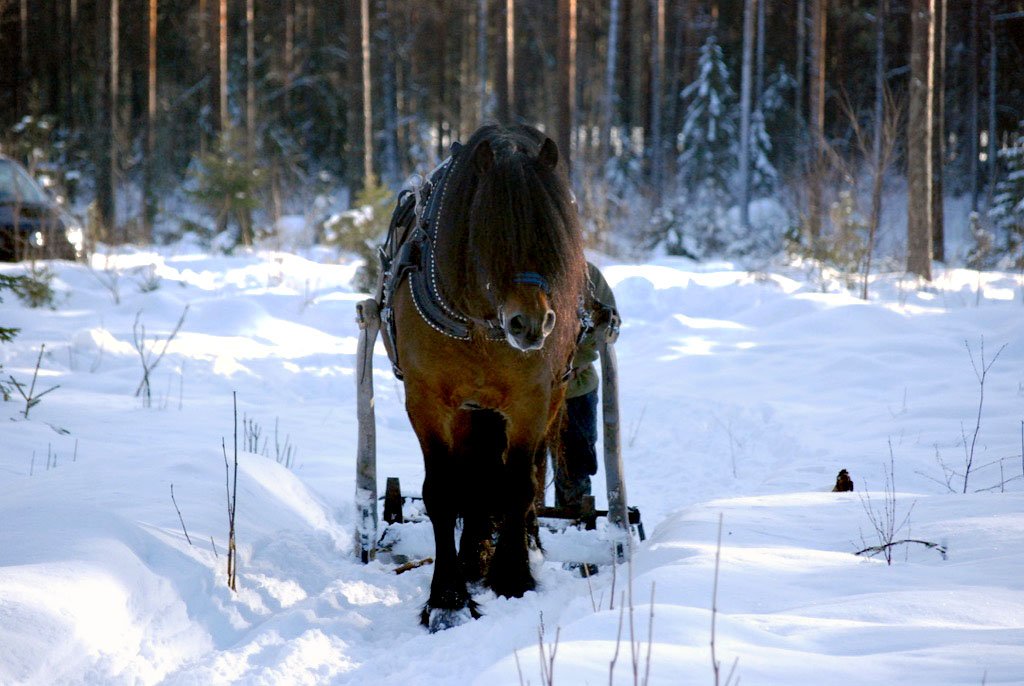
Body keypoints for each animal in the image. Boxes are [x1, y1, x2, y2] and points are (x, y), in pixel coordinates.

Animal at [389, 122, 589, 630]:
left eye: (551, 233)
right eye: (489, 232)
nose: (530, 324)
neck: (479, 321)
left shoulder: (531, 399)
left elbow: (519, 485)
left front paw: (513, 577)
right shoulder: (427, 402)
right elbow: (444, 492)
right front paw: (448, 597)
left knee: (526, 475)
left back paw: (522, 548)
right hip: (468, 410)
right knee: (474, 478)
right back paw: (472, 555)